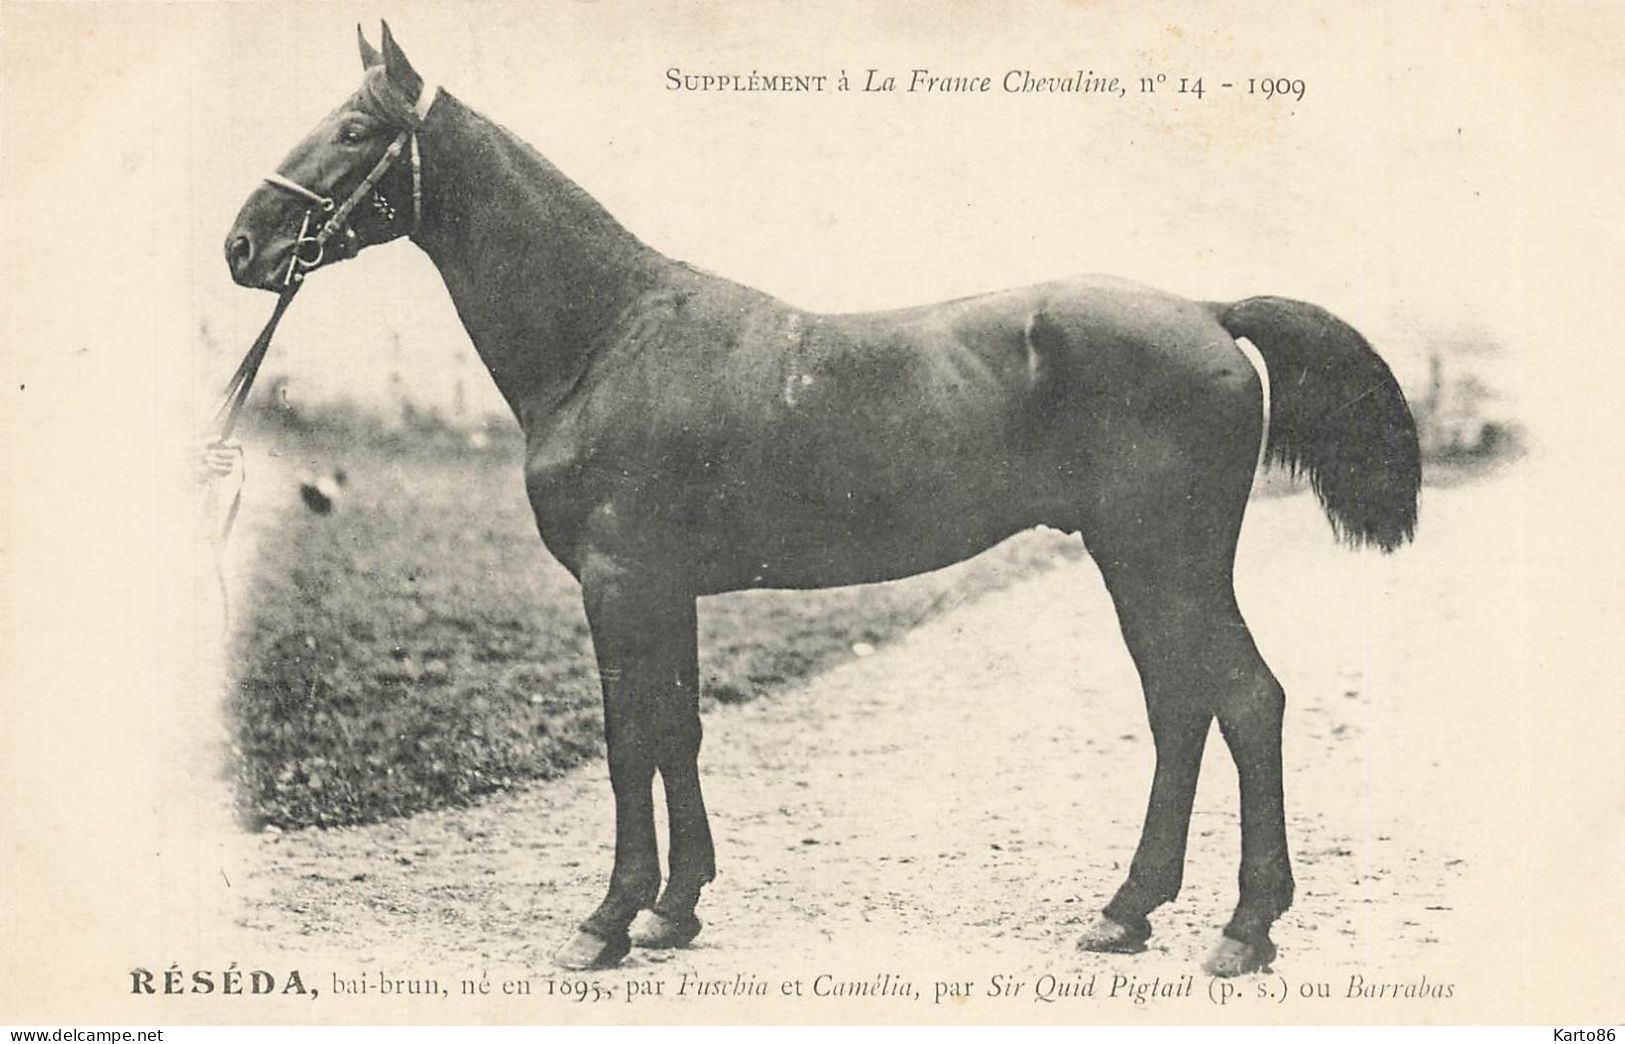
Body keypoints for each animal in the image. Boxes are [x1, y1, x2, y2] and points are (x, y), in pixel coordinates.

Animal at [222, 24, 1417, 969]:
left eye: (353, 131)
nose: (243, 246)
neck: (607, 337)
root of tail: (1208, 313)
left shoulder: (618, 583)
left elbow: (627, 738)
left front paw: (605, 922)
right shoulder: (665, 589)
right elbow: (677, 729)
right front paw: (674, 911)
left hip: (1162, 558)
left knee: (1243, 701)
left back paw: (1243, 930)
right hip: (1135, 561)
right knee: (1182, 707)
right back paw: (1127, 913)